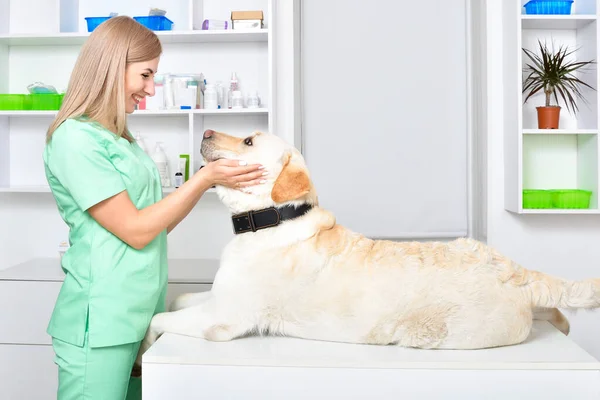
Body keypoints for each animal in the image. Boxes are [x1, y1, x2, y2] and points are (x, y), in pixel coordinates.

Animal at [136, 130, 596, 366]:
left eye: (248, 141)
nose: (206, 130)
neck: (271, 219)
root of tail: (515, 272)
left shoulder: (222, 319)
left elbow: (158, 319)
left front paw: (140, 354)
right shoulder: (215, 297)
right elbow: (176, 299)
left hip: (439, 333)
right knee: (555, 313)